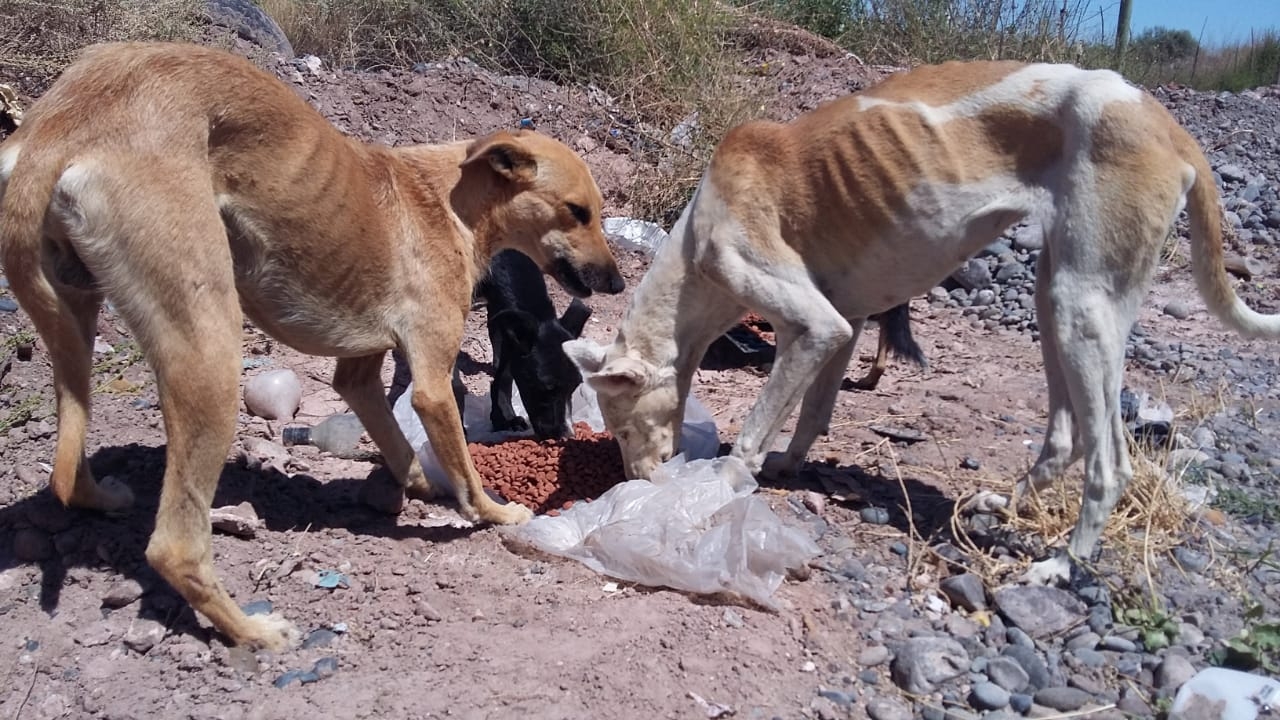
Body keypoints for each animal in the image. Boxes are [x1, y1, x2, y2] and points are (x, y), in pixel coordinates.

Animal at [0, 41, 624, 648]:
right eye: (578, 211)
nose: (618, 282)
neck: (452, 202)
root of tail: (61, 123)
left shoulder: (360, 373)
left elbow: (398, 443)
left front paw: (423, 483)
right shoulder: (430, 380)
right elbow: (465, 467)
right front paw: (494, 510)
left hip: (75, 319)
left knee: (66, 470)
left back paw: (102, 498)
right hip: (210, 349)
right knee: (173, 546)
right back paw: (251, 631)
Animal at [568, 61, 1280, 586]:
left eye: (621, 425)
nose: (637, 483)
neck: (696, 249)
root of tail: (1169, 125)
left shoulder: (813, 324)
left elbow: (753, 429)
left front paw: (721, 484)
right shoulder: (846, 324)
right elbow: (813, 413)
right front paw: (787, 464)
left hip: (1084, 308)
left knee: (1111, 465)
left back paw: (1061, 564)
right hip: (1056, 300)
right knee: (1065, 438)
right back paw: (1004, 505)